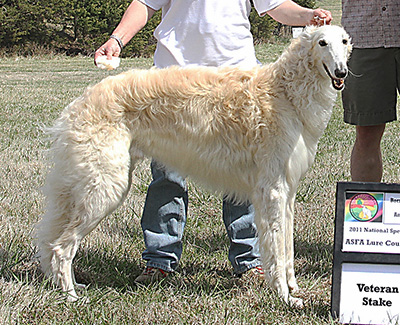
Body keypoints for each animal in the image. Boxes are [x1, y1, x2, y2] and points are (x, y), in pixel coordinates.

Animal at [36, 24, 352, 304]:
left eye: (345, 41)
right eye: (322, 42)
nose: (341, 72)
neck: (285, 91)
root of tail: (81, 101)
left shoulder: (287, 191)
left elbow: (287, 249)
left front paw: (293, 287)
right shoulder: (272, 190)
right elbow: (276, 249)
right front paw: (285, 297)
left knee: (54, 242)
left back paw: (68, 286)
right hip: (106, 188)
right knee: (62, 247)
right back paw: (71, 296)